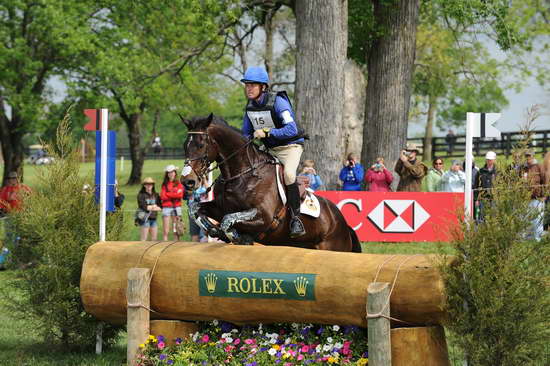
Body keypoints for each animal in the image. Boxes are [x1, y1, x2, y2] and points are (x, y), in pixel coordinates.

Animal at [180, 113, 362, 253]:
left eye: (201, 145)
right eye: (185, 146)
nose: (187, 181)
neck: (242, 173)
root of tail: (343, 223)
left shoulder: (264, 217)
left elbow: (227, 220)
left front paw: (236, 237)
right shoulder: (220, 207)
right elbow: (195, 209)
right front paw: (213, 229)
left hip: (334, 246)